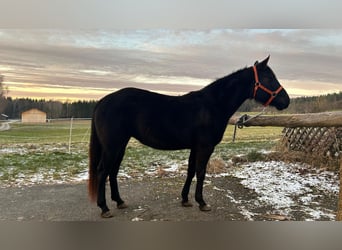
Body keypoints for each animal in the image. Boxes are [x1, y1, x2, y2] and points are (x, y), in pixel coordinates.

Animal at [89, 56, 290, 217]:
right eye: (269, 77)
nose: (286, 101)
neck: (213, 105)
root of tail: (102, 101)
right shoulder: (205, 147)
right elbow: (201, 172)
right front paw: (202, 202)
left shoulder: (195, 147)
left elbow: (191, 171)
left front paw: (185, 199)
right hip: (113, 146)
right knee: (103, 171)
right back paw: (104, 208)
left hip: (120, 145)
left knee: (113, 171)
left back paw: (119, 201)